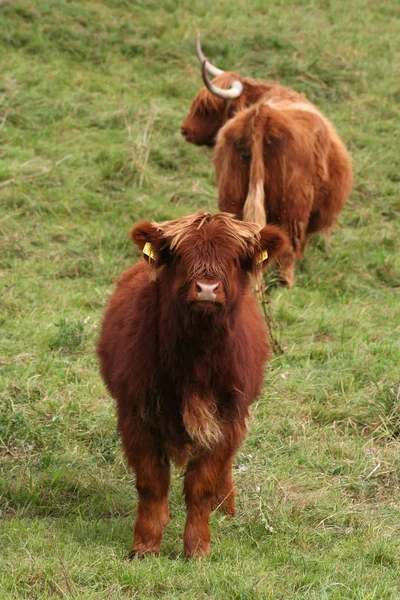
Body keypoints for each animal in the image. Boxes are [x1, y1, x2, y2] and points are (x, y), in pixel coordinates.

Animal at [98, 211, 290, 556]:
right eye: (180, 255)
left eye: (235, 258)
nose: (207, 288)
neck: (195, 361)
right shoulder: (136, 414)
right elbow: (152, 484)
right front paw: (146, 545)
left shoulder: (224, 419)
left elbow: (201, 485)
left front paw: (198, 548)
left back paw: (225, 506)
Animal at [181, 35, 354, 288]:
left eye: (207, 108)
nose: (185, 130)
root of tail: (262, 114)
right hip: (292, 207)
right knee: (289, 245)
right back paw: (285, 282)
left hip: (232, 196)